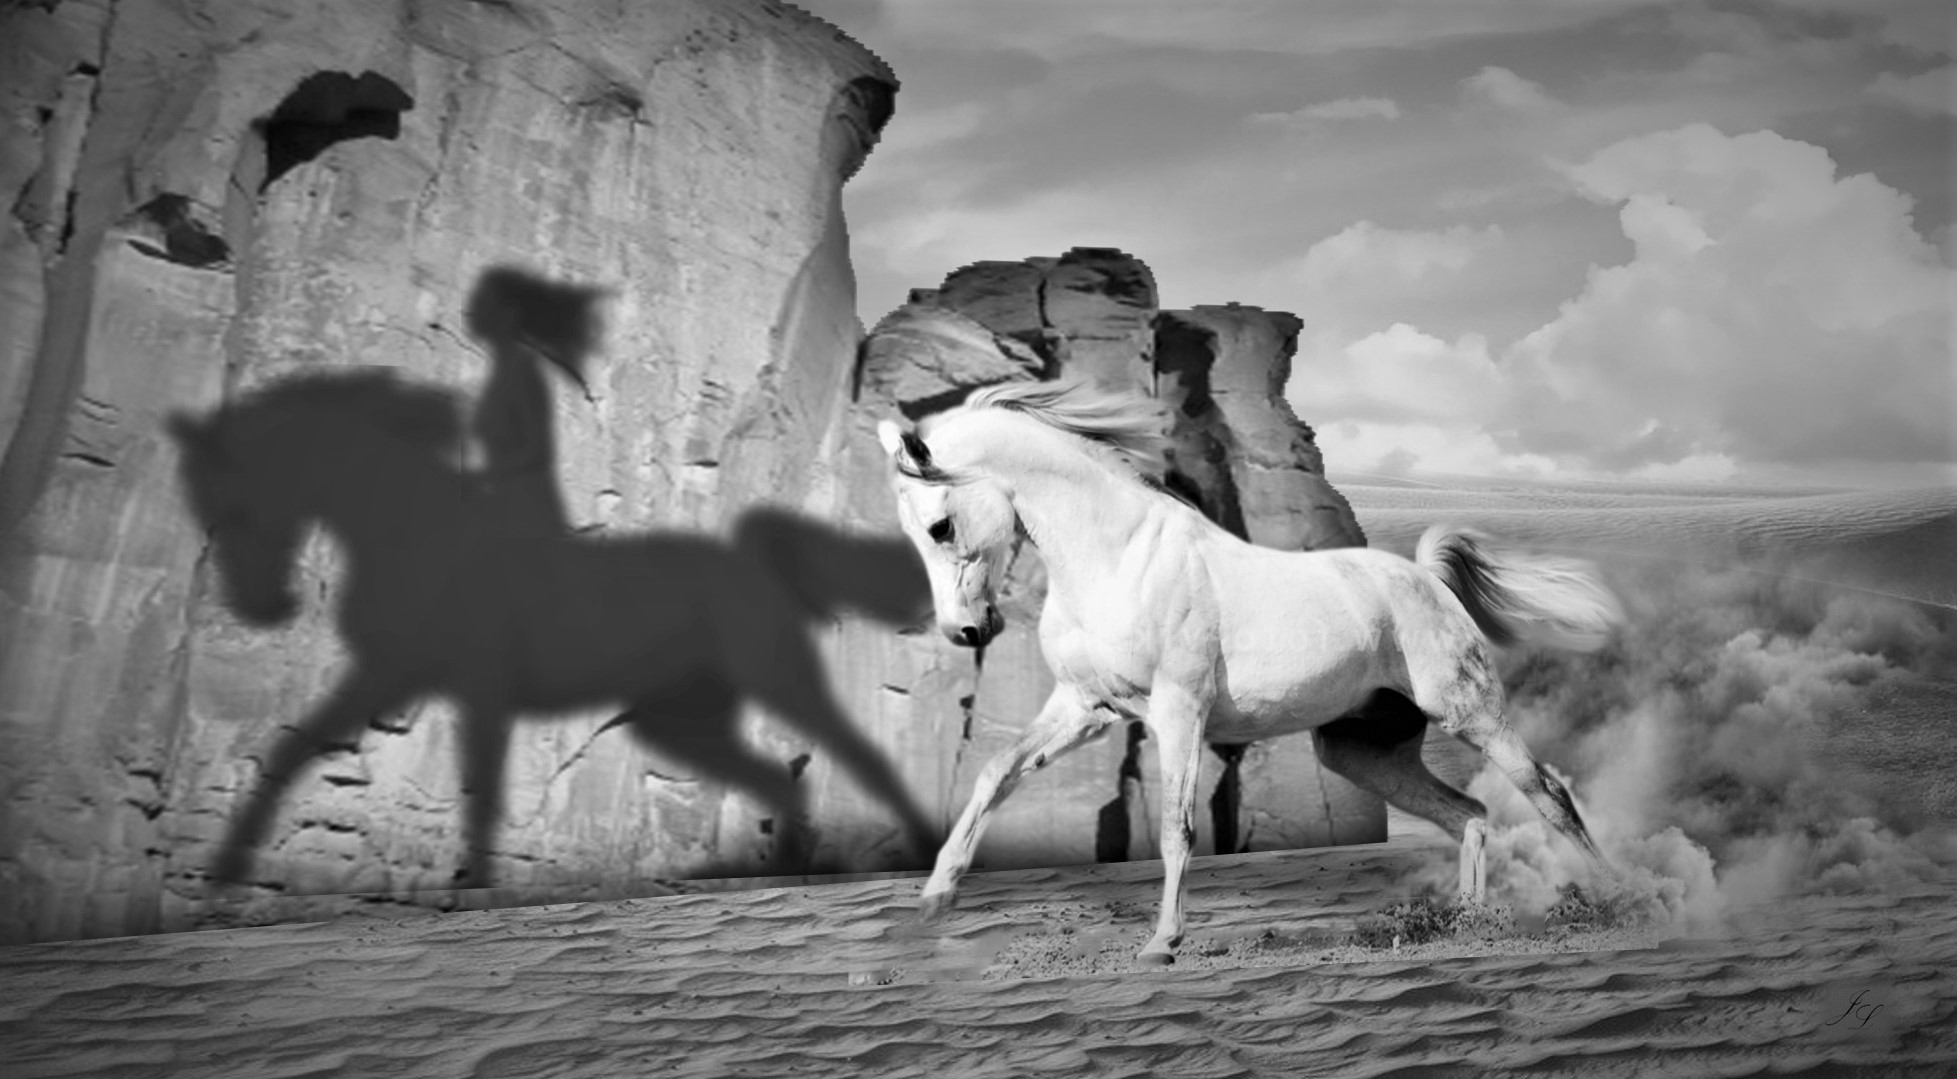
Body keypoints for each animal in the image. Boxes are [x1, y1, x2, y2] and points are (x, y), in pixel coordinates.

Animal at [880, 379, 1628, 963]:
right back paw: (1468, 921)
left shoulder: (1178, 711)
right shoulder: (1085, 708)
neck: (1118, 559)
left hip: (1471, 713)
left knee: (1548, 795)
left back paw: (1622, 896)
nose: (965, 630)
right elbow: (995, 774)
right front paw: (934, 900)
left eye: (940, 526)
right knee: (1469, 813)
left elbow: (1176, 828)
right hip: (1361, 751)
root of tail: (1425, 578)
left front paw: (1162, 943)